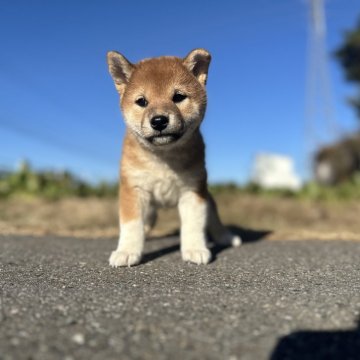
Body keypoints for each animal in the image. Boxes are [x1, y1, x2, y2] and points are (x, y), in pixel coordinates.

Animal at [107, 49, 242, 266]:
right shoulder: (133, 189)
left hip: (207, 197)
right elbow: (132, 225)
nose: (159, 120)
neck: (164, 157)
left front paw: (195, 248)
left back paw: (226, 237)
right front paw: (127, 251)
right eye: (142, 101)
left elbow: (194, 224)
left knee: (215, 220)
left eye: (178, 97)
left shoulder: (193, 190)